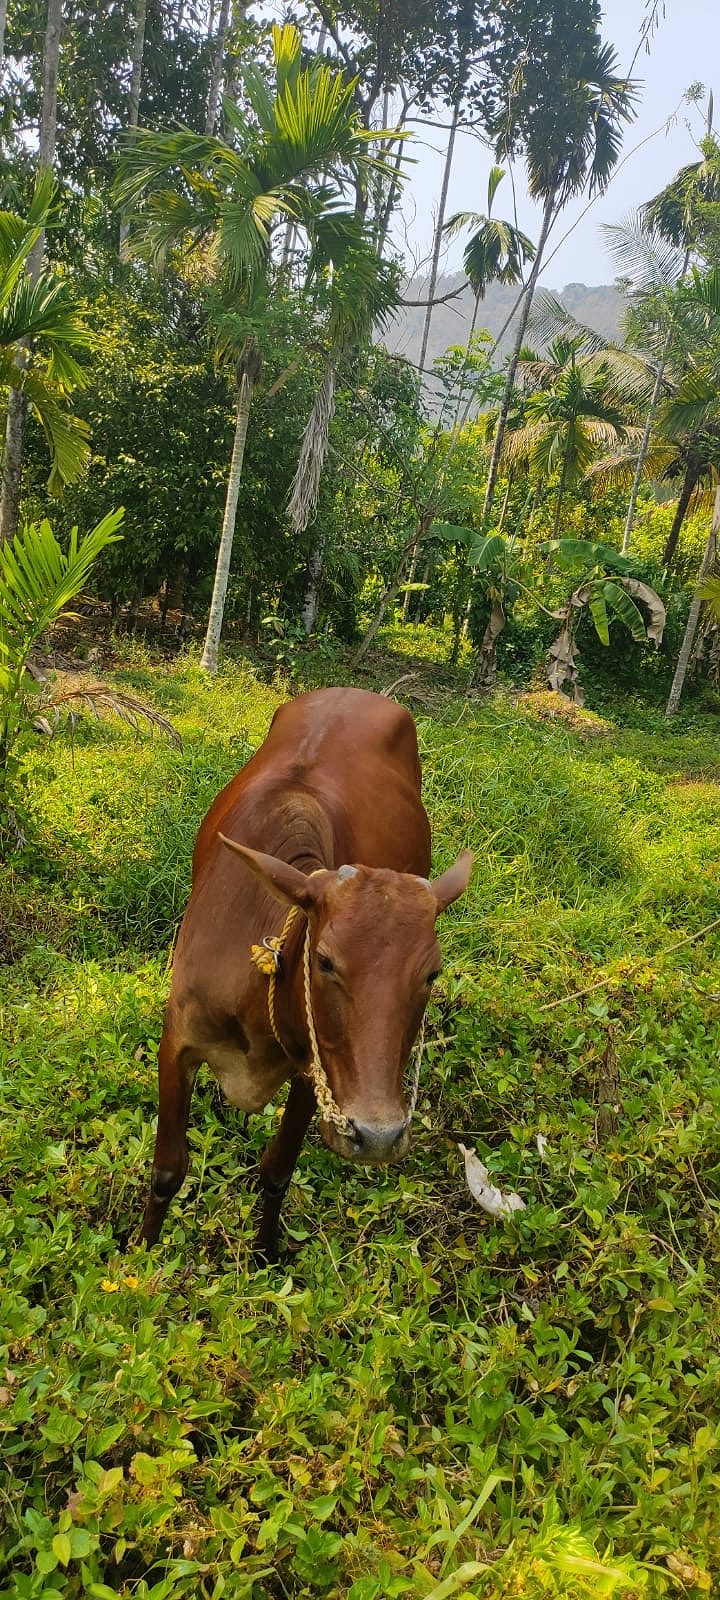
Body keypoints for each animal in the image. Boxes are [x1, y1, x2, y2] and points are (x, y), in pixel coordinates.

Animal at [138, 687, 472, 1259]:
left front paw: (266, 1252)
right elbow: (166, 1172)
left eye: (432, 973)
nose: (378, 1135)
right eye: (325, 961)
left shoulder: (316, 1070)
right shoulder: (177, 1040)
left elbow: (277, 1170)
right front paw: (137, 1249)